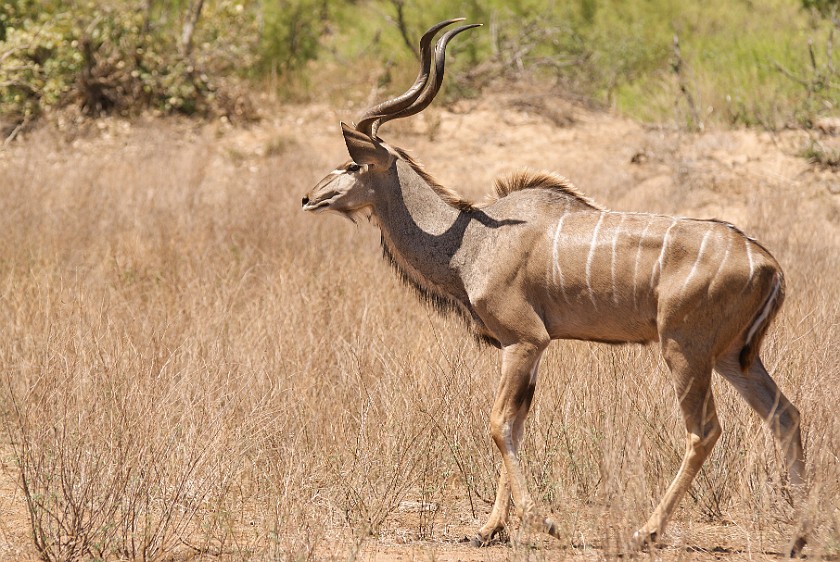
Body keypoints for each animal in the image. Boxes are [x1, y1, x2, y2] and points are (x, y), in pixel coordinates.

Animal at [302, 18, 808, 556]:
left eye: (352, 164)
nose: (309, 197)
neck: (473, 242)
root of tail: (769, 264)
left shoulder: (524, 340)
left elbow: (498, 424)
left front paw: (543, 522)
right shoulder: (529, 348)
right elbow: (516, 425)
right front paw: (488, 528)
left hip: (684, 350)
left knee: (705, 430)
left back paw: (646, 531)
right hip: (733, 357)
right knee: (785, 415)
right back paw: (799, 536)